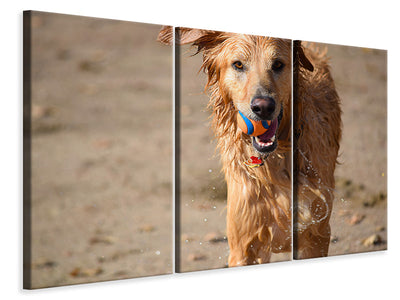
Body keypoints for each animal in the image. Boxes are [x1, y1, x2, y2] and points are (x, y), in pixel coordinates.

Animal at [159, 27, 340, 264]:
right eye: (238, 64)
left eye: (278, 64)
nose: (263, 107)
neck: (275, 162)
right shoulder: (244, 244)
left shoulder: (315, 234)